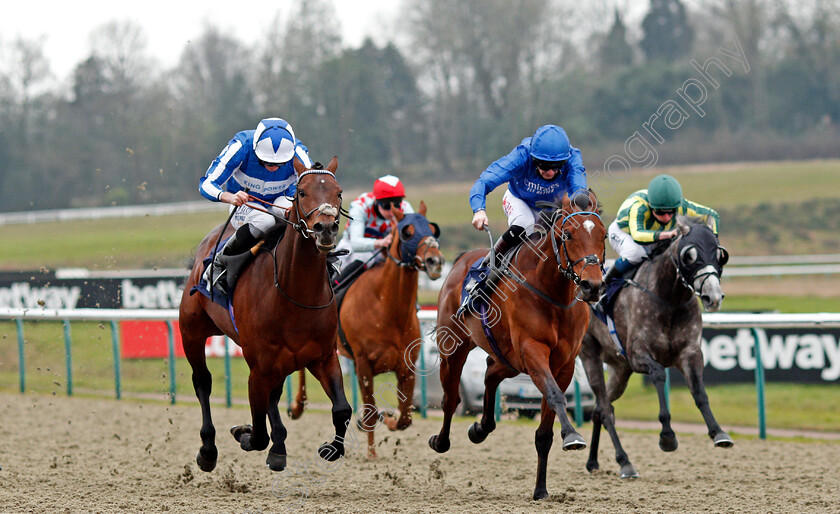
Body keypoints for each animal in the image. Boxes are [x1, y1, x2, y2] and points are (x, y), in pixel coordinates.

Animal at [179, 156, 352, 472]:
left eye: (338, 192)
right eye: (302, 192)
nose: (326, 229)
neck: (296, 294)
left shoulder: (323, 357)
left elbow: (342, 409)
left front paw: (330, 448)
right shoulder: (258, 367)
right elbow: (258, 433)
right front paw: (243, 433)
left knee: (274, 395)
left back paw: (279, 447)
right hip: (192, 331)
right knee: (203, 382)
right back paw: (208, 450)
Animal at [290, 200, 446, 456]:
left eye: (433, 230)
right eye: (407, 232)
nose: (435, 262)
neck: (388, 309)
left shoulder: (406, 367)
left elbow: (405, 417)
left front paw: (387, 418)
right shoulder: (364, 364)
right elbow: (373, 413)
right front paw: (372, 454)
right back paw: (296, 406)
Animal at [430, 191, 608, 496]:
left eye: (604, 235)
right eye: (568, 235)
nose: (592, 286)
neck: (552, 293)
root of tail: (463, 259)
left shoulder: (563, 363)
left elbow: (545, 431)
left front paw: (541, 489)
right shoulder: (532, 350)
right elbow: (555, 395)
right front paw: (572, 435)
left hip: (509, 358)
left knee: (490, 374)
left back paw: (480, 429)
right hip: (454, 348)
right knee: (451, 398)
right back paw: (441, 442)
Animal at [580, 214, 732, 478]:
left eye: (719, 254)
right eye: (689, 255)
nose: (713, 297)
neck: (670, 299)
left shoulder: (690, 353)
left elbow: (699, 392)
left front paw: (718, 433)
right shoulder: (637, 355)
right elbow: (659, 374)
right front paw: (667, 436)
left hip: (620, 370)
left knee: (600, 407)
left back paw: (593, 461)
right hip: (590, 355)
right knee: (605, 409)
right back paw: (625, 461)